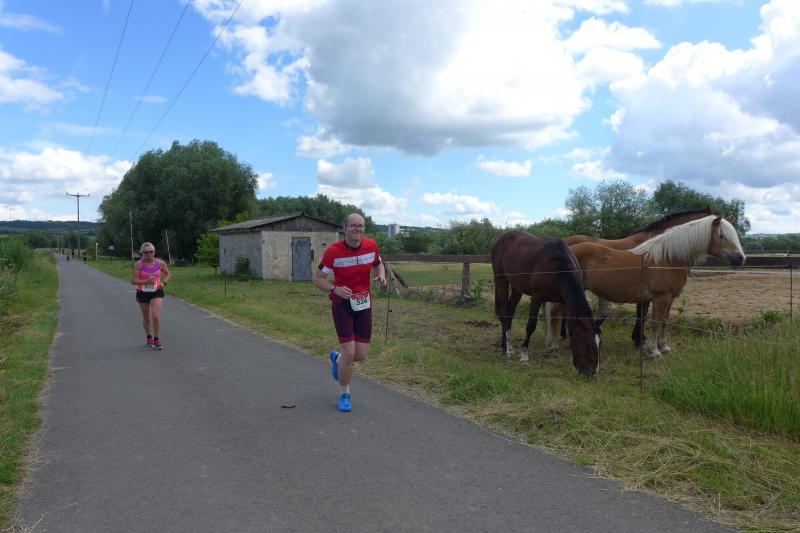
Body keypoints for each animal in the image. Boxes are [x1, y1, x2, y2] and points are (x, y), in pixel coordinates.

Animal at [491, 231, 602, 377]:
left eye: (599, 344)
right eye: (588, 343)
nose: (591, 373)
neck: (557, 267)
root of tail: (502, 239)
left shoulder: (564, 302)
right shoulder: (537, 298)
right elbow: (531, 326)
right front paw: (524, 355)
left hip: (517, 288)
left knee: (510, 312)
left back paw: (509, 346)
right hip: (501, 281)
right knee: (504, 313)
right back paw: (506, 350)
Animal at [547, 215, 745, 359]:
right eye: (722, 236)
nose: (741, 258)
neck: (668, 259)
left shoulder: (669, 299)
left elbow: (664, 322)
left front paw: (664, 347)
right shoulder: (660, 298)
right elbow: (655, 322)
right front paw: (653, 351)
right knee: (556, 313)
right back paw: (554, 346)